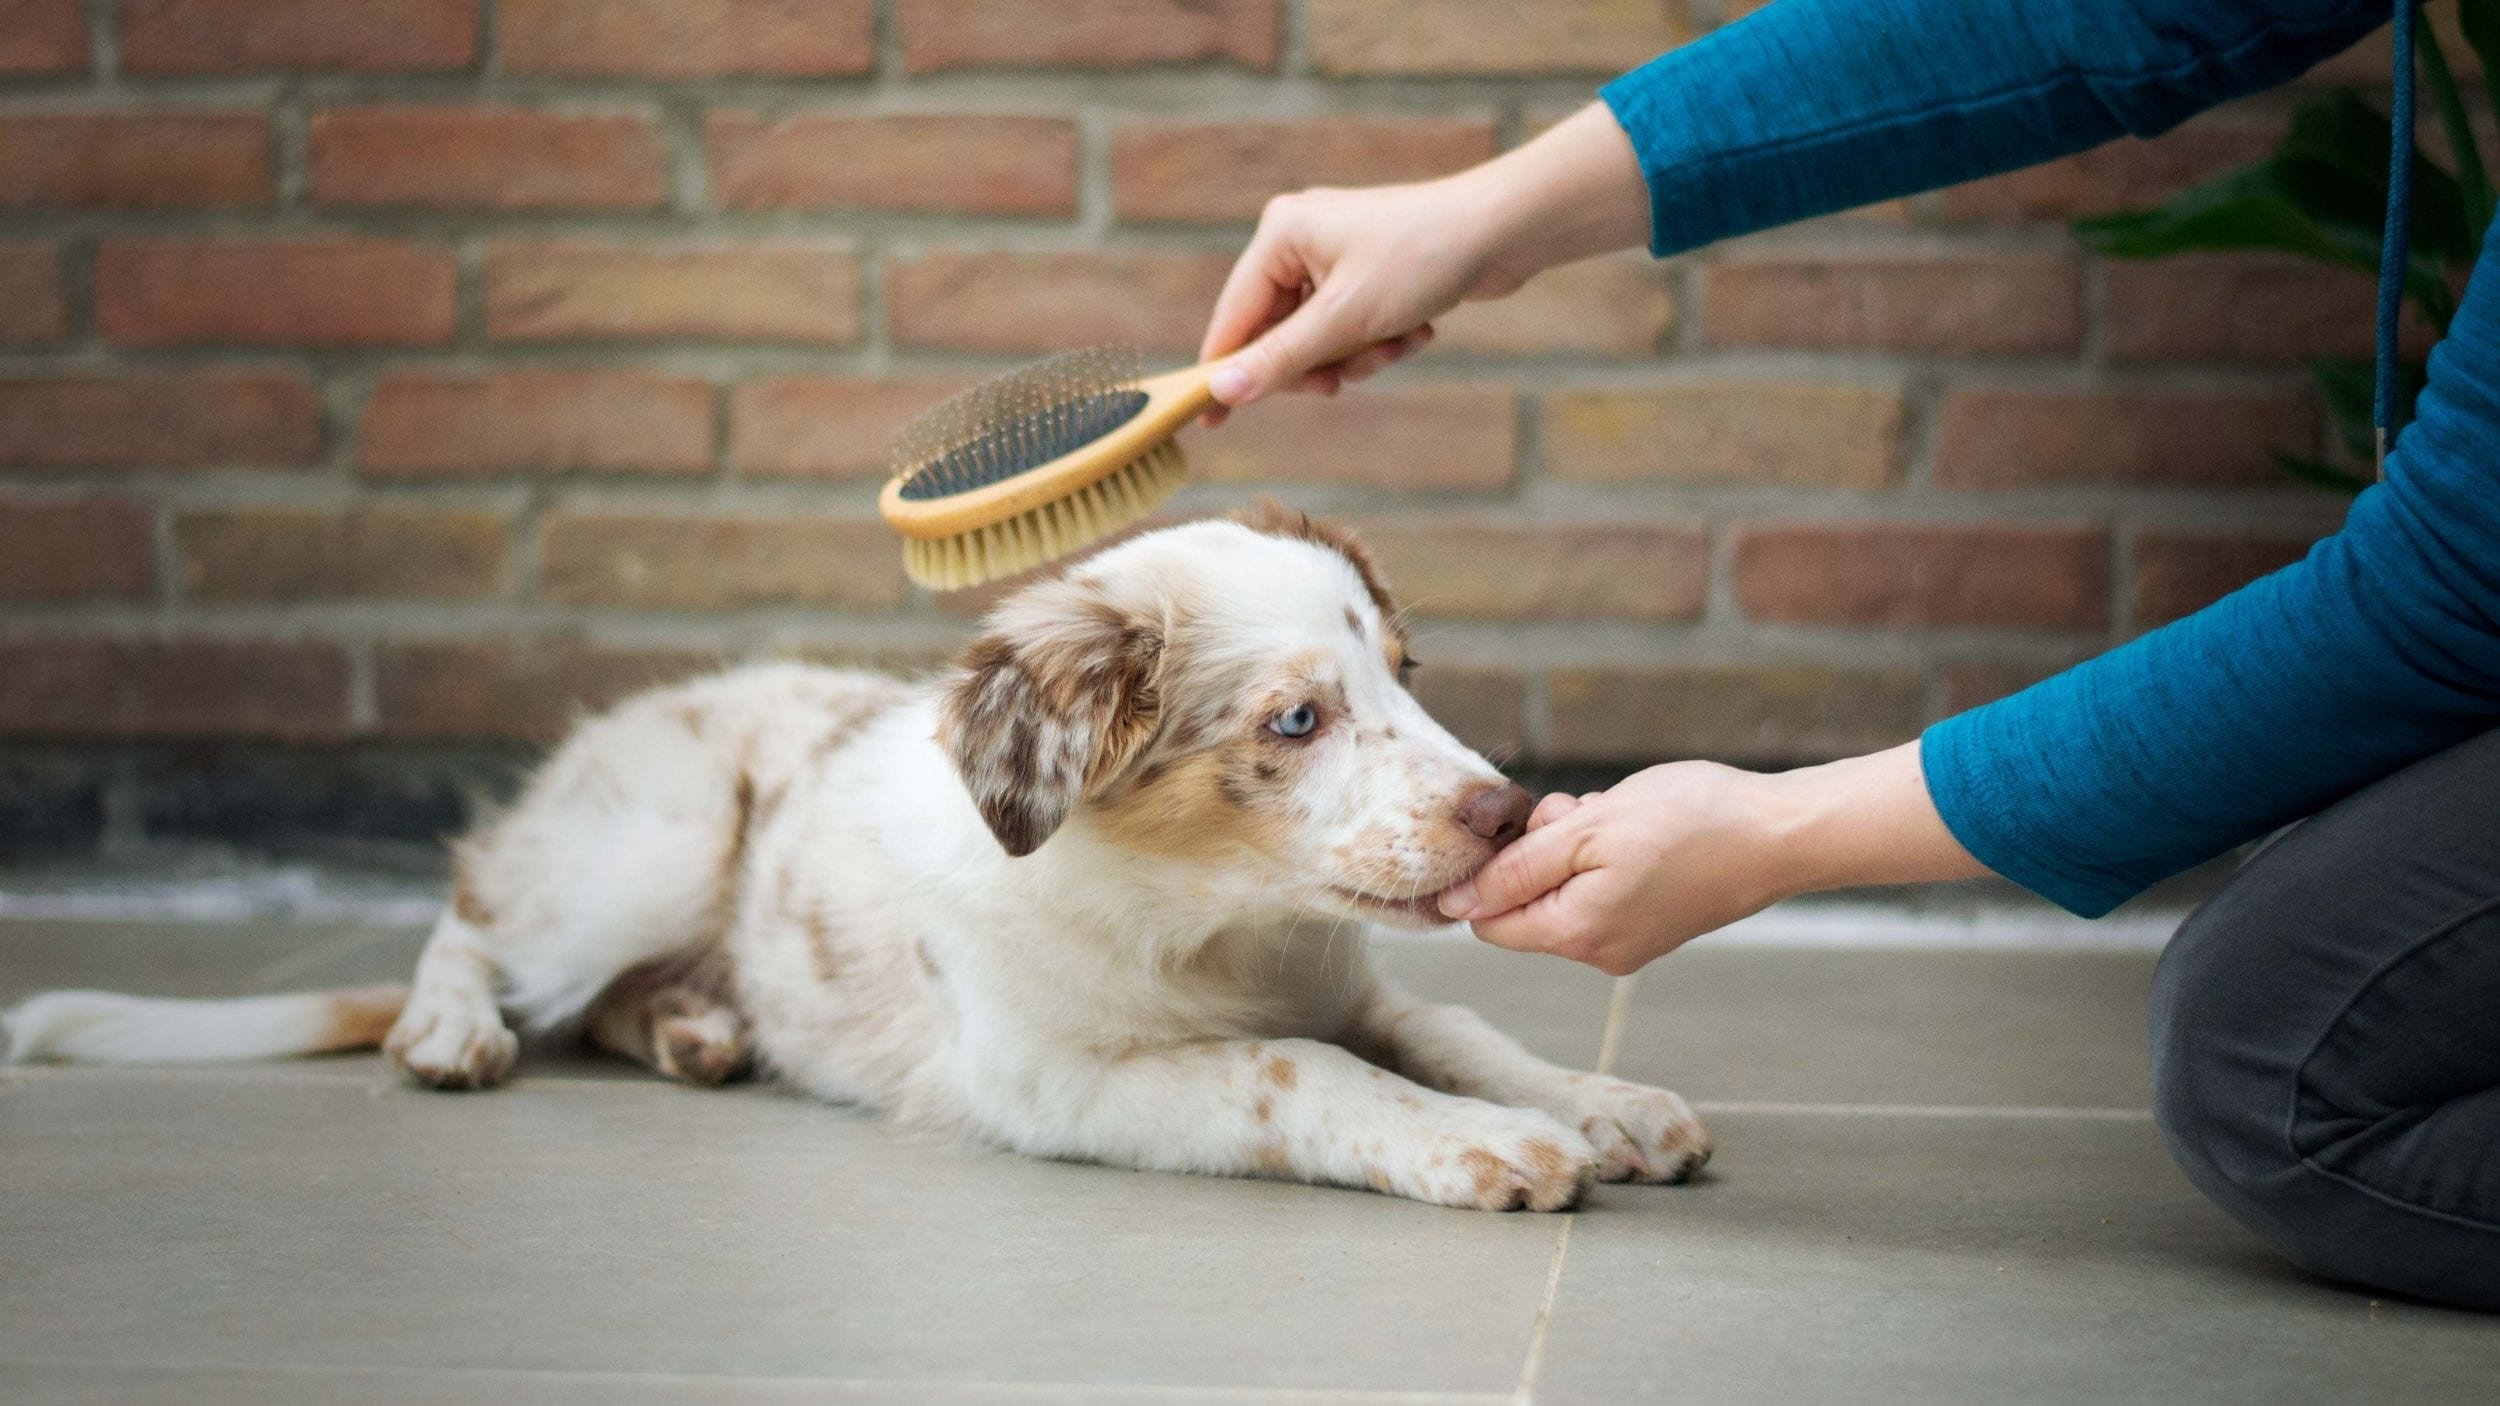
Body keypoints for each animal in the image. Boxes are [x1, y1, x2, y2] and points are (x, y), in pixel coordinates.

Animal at [0, 502, 1710, 1205]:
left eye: (1404, 678)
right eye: (1296, 718)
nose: (1509, 812)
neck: (1210, 927)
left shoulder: (1352, 981)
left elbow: (1454, 1025)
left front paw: (1605, 1103)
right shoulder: (1054, 1075)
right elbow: (1297, 1075)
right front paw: (1484, 1147)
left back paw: (699, 1028)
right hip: (645, 844)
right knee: (473, 913)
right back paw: (449, 1030)